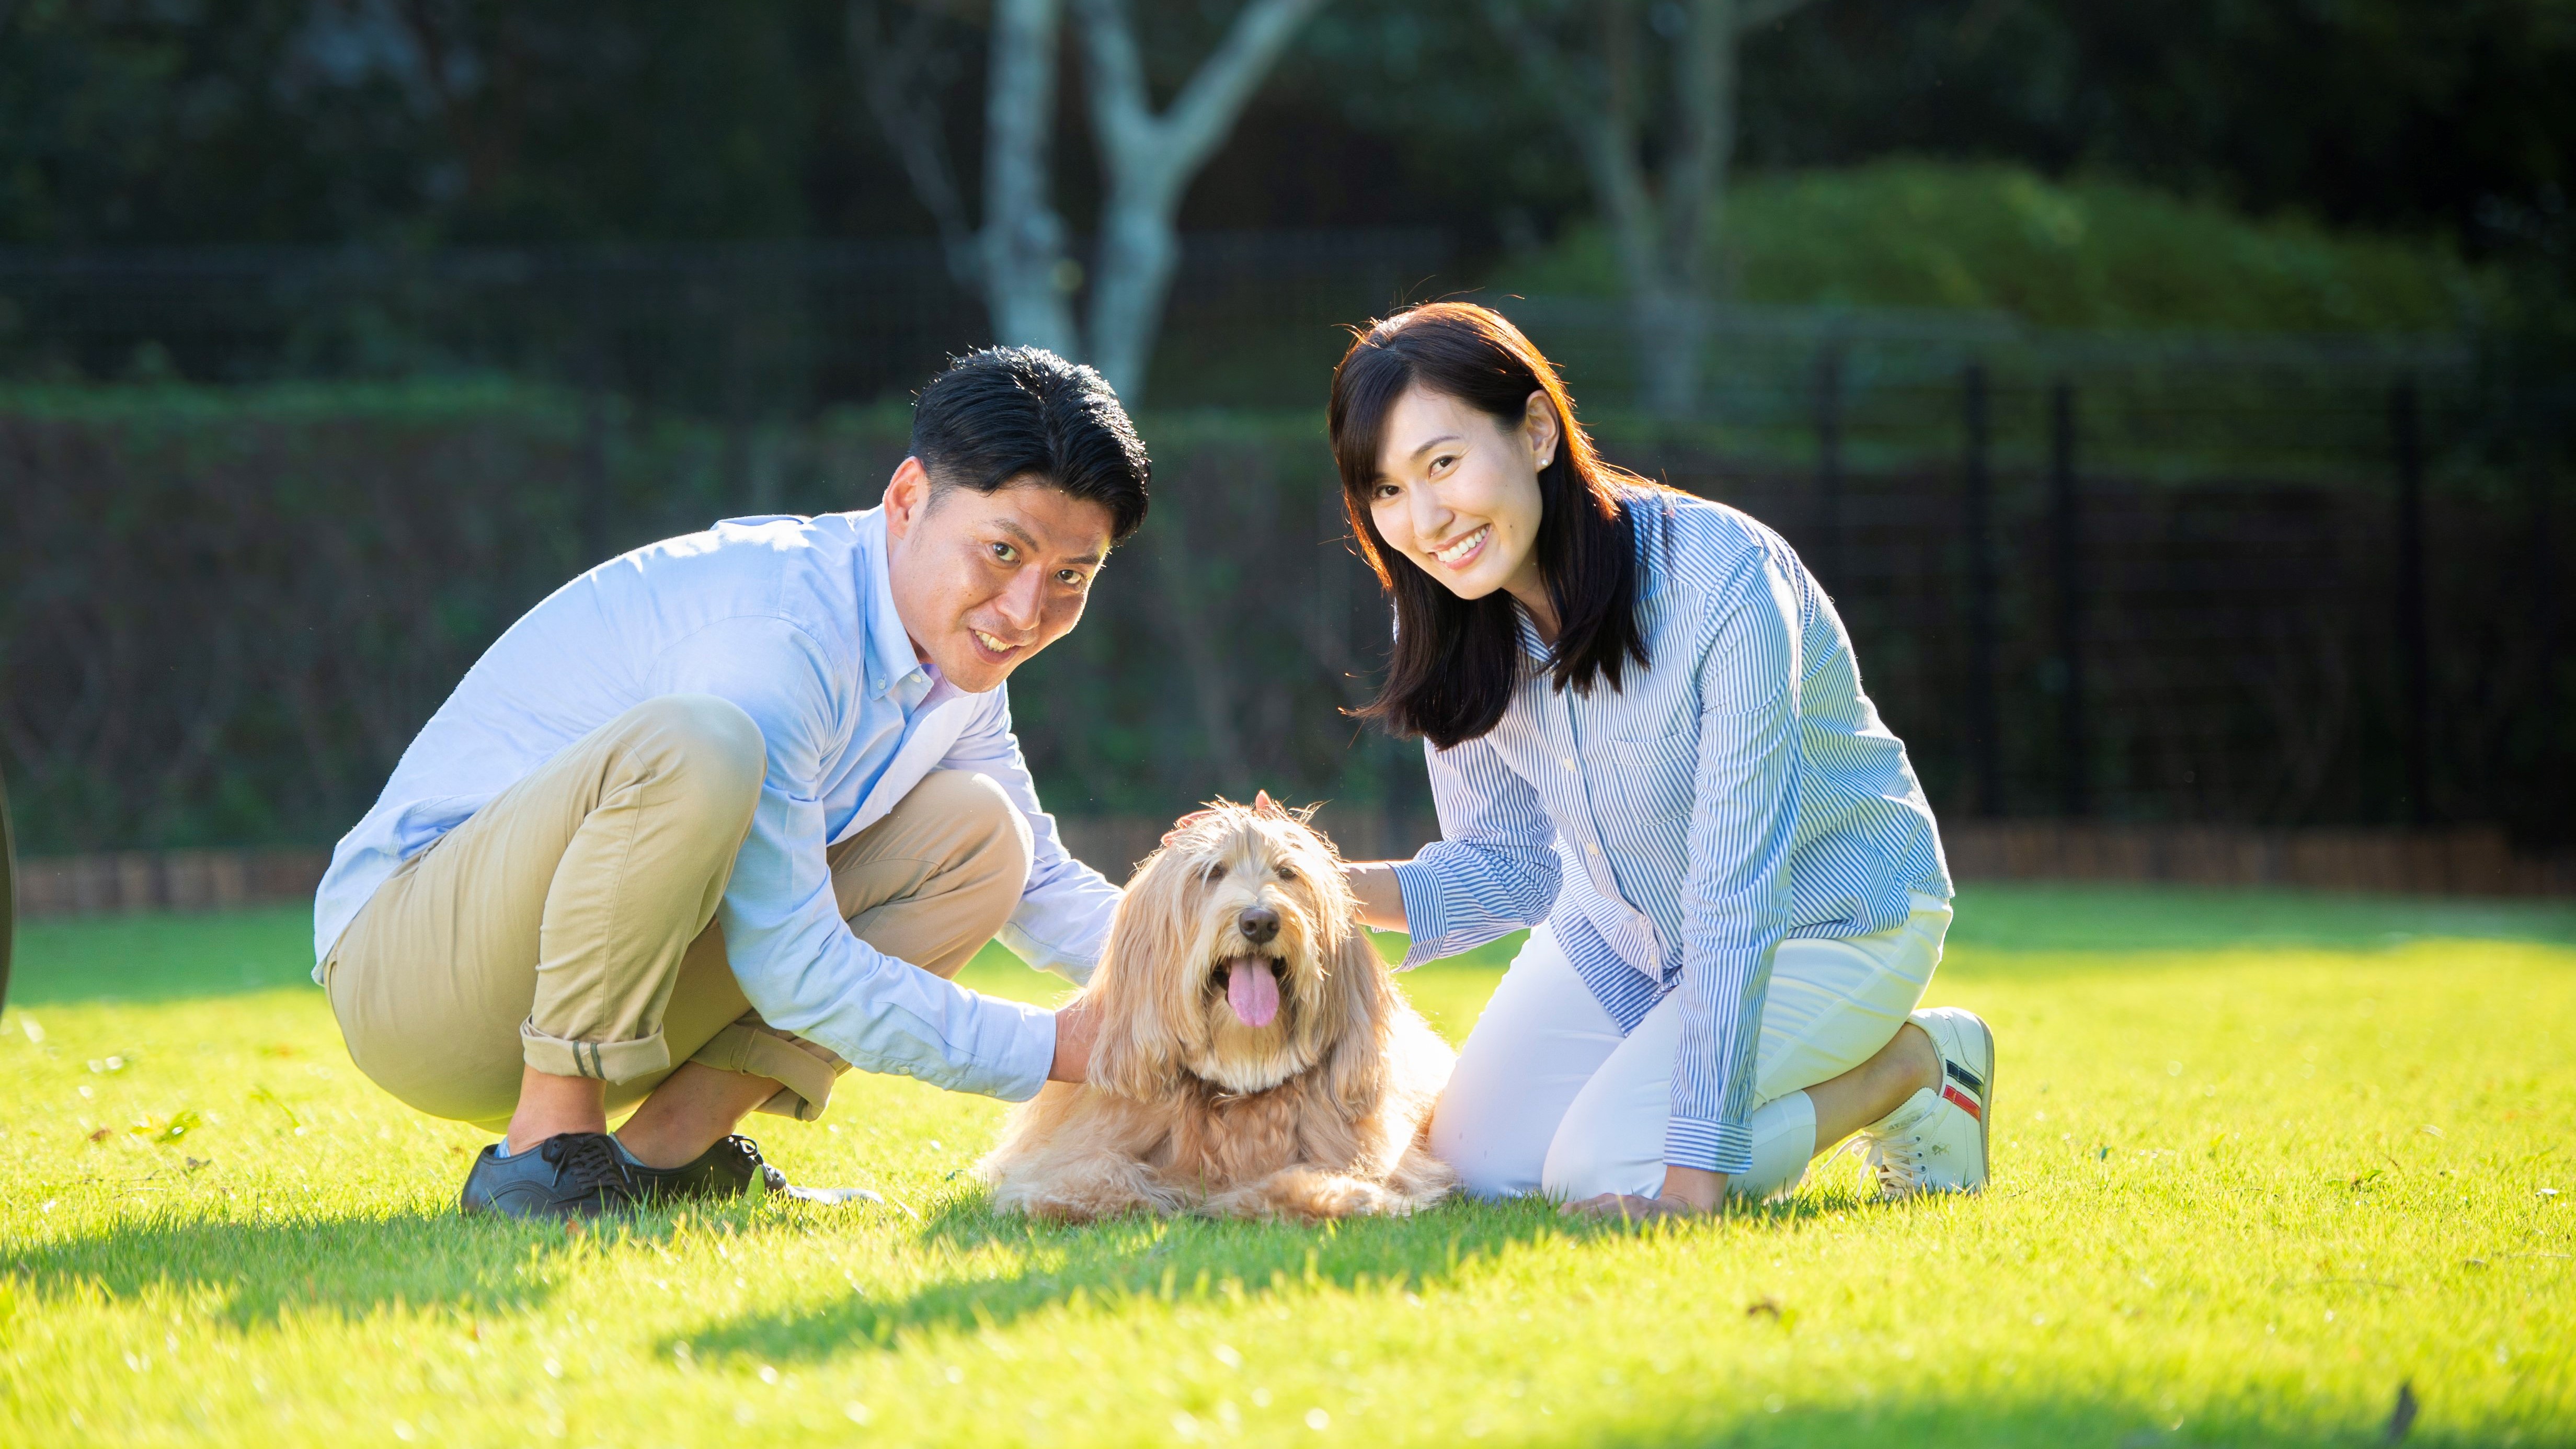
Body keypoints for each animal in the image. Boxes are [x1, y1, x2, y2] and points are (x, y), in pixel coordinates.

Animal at [979, 789, 1463, 1217]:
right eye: (1212, 872)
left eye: (1286, 873)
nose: (1260, 921)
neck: (1239, 1077)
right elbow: (1084, 1170)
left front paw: (1322, 1194)